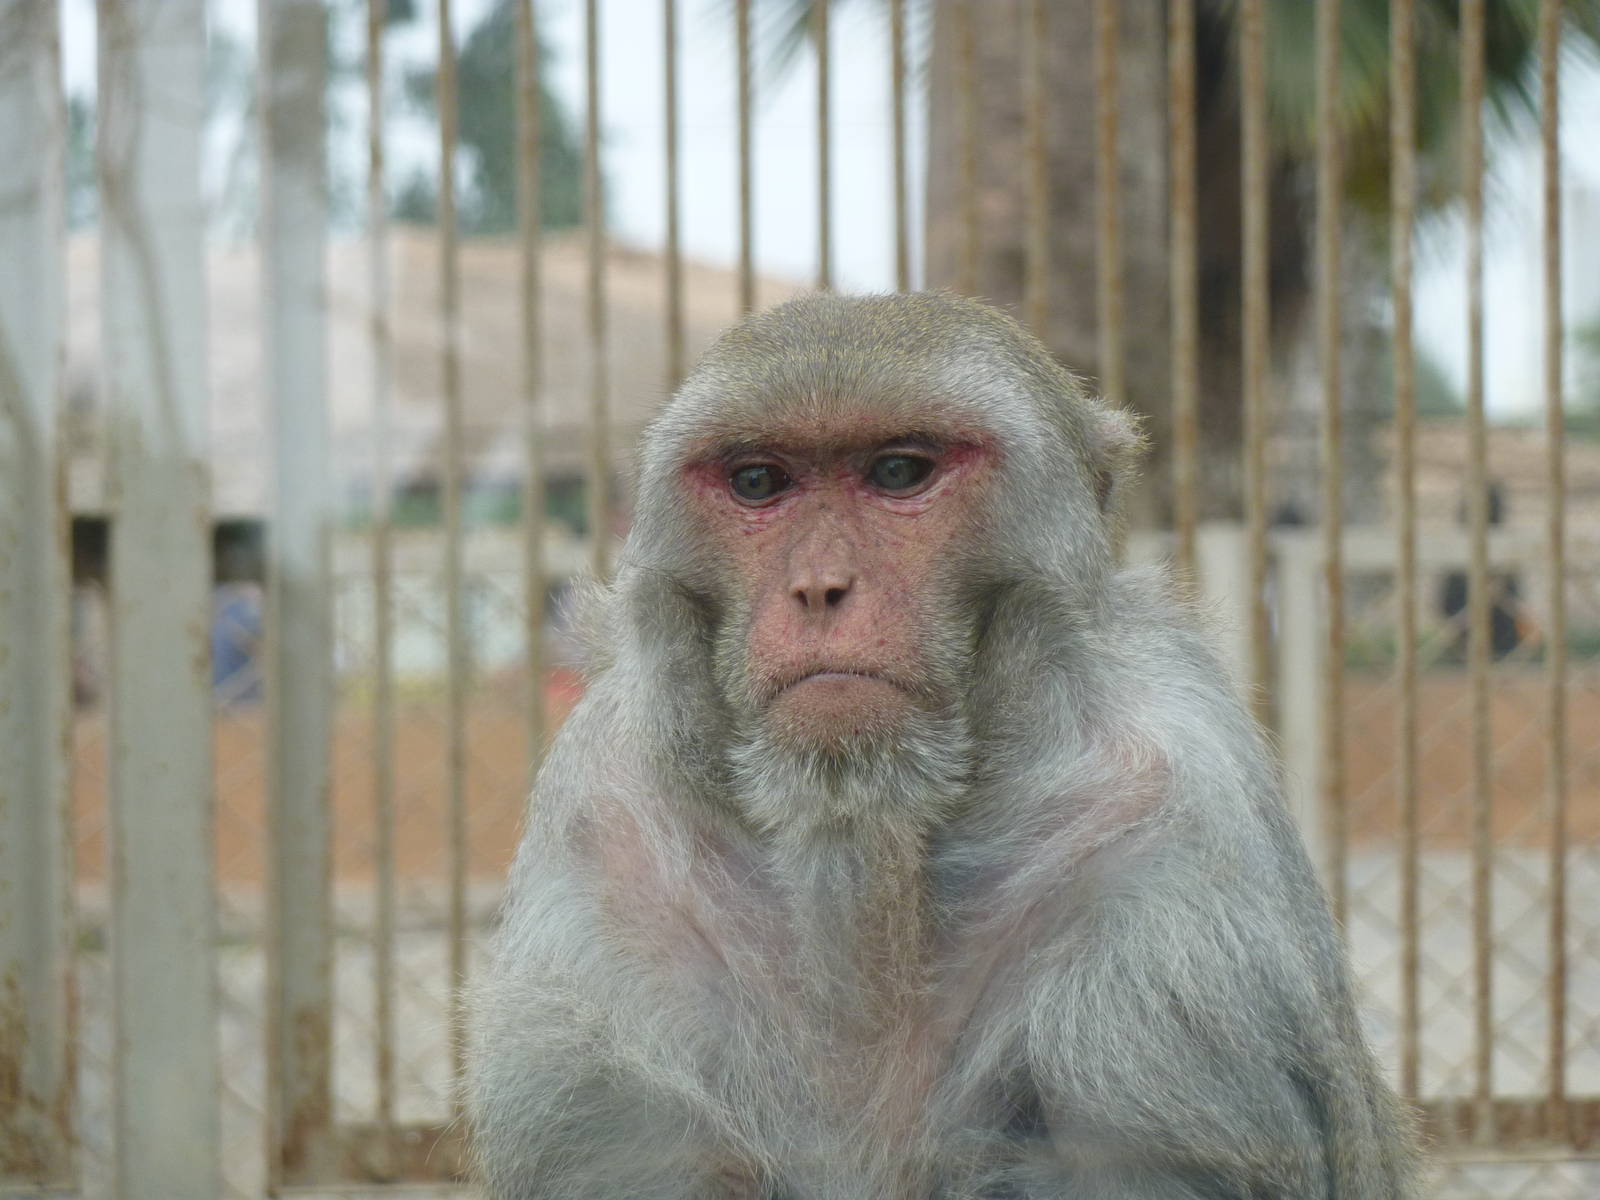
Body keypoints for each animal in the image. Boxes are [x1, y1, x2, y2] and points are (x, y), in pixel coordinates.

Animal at [466, 291, 1421, 1199]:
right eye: (758, 481)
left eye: (899, 472)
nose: (820, 588)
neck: (863, 829)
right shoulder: (604, 845)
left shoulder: (1172, 849)